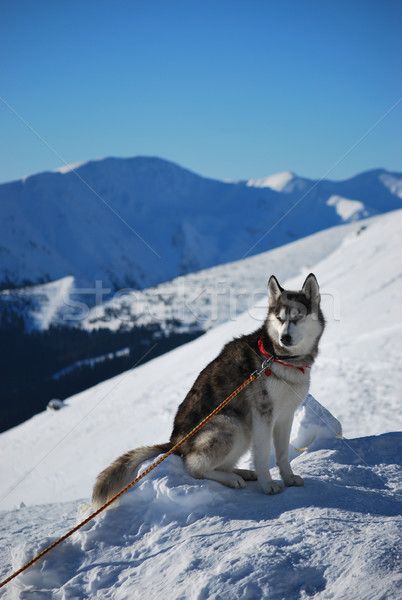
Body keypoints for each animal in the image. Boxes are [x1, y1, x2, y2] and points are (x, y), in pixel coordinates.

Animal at [93, 274, 324, 504]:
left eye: (298, 317)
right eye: (280, 319)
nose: (285, 338)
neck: (280, 358)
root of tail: (174, 442)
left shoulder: (285, 416)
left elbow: (283, 454)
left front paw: (289, 478)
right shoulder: (263, 415)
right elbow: (262, 455)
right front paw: (268, 485)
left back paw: (241, 473)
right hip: (232, 425)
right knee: (193, 467)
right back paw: (231, 478)